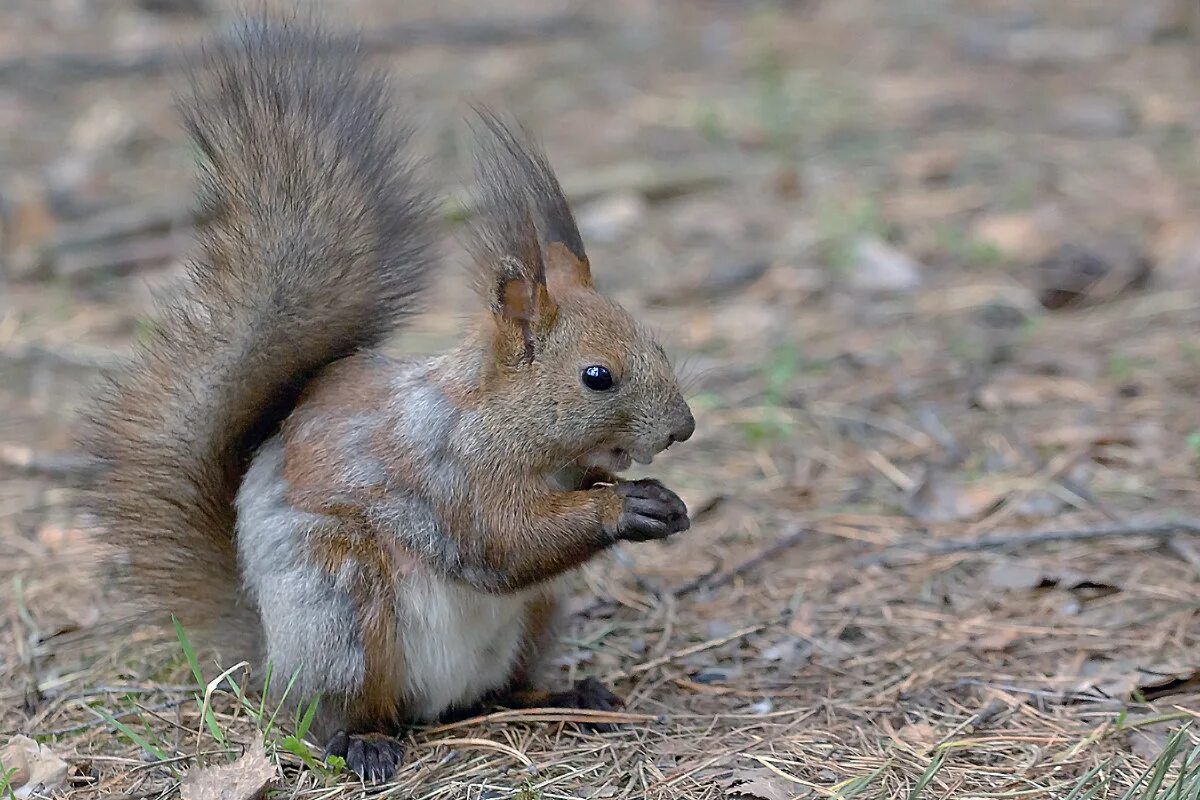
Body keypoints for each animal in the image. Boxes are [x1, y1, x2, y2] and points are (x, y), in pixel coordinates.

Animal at [82, 17, 696, 782]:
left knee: (501, 689)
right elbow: (500, 542)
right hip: (341, 611)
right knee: (337, 711)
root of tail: (270, 659)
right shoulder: (447, 473)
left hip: (537, 618)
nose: (683, 429)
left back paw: (565, 694)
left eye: (657, 342)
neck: (507, 424)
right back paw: (364, 742)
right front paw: (628, 507)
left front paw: (664, 503)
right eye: (596, 376)